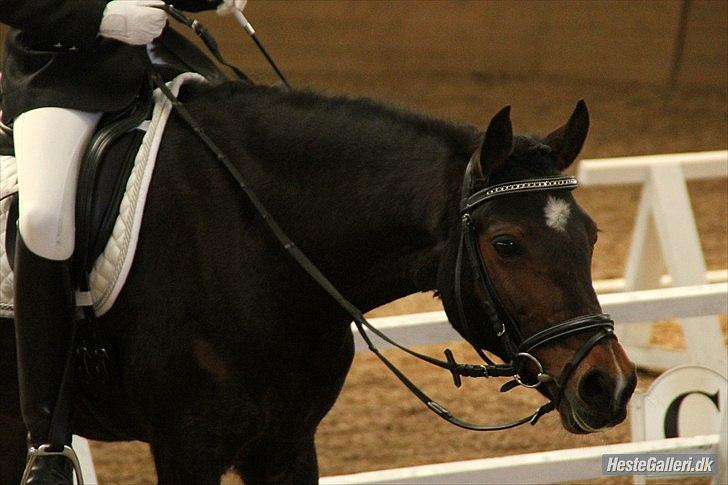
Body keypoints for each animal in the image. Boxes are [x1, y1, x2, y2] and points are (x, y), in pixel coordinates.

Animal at [0, 81, 636, 482]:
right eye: (505, 244)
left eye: (592, 236)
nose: (608, 386)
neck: (258, 248)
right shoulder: (187, 445)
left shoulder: (286, 443)